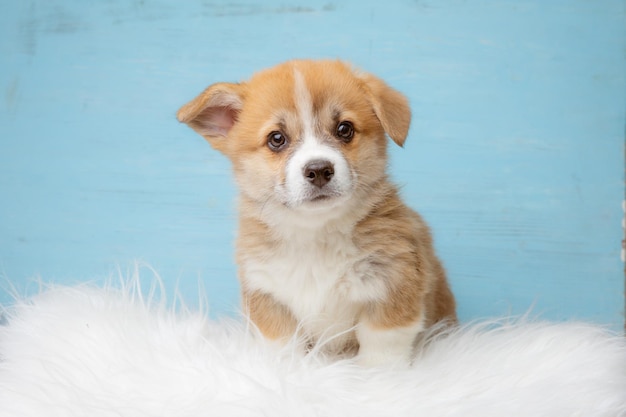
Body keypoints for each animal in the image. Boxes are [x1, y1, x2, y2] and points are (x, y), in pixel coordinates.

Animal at [176, 58, 454, 364]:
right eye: (277, 138)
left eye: (344, 129)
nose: (319, 169)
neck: (316, 233)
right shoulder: (269, 298)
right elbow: (284, 349)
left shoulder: (392, 290)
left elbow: (381, 352)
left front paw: (377, 376)